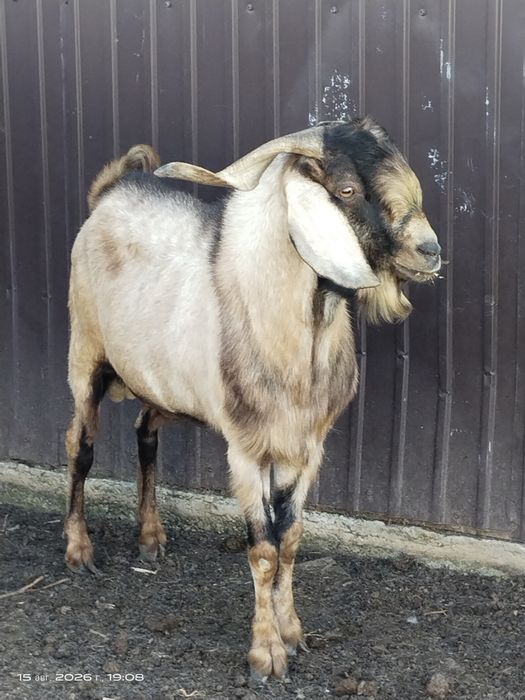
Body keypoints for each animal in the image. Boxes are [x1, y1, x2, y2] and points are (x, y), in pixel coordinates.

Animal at [65, 117, 441, 680]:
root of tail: (110, 191)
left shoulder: (305, 448)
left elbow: (291, 539)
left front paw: (294, 632)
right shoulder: (246, 449)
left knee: (145, 435)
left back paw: (151, 539)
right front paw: (266, 653)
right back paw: (79, 551)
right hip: (85, 353)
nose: (430, 251)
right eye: (346, 190)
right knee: (80, 447)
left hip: (158, 380)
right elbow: (263, 548)